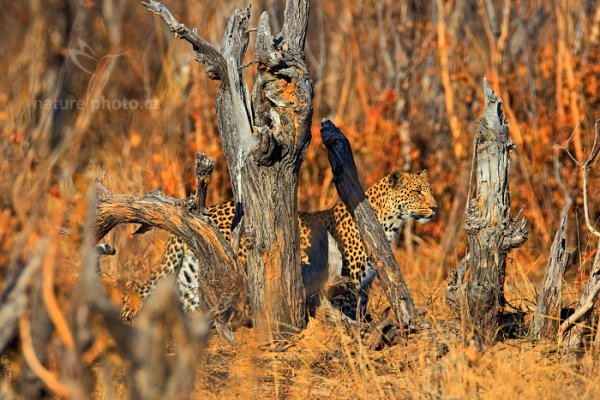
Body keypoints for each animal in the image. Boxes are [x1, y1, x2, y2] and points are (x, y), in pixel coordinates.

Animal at [120, 169, 436, 322]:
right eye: (417, 192)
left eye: (429, 191)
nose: (434, 207)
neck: (389, 223)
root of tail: (196, 212)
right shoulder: (350, 281)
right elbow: (348, 310)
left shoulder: (365, 284)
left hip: (190, 272)